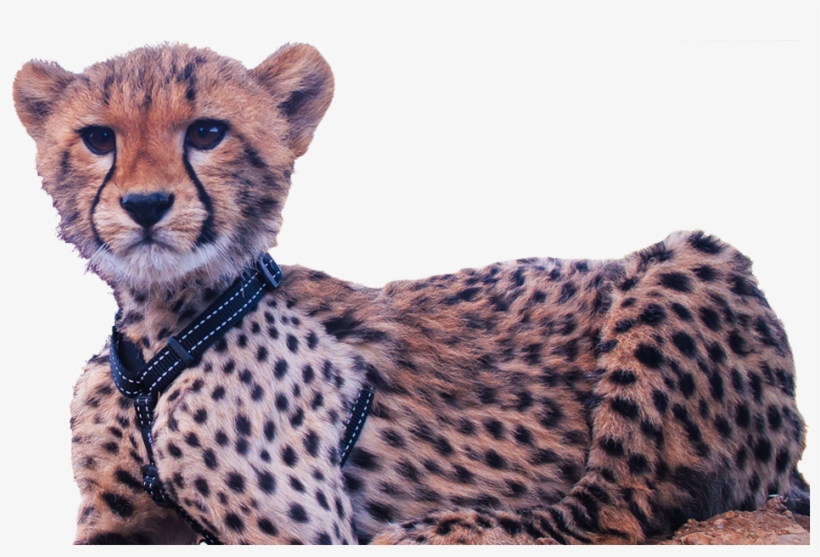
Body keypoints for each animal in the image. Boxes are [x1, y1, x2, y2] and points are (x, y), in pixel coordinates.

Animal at [13, 43, 809, 545]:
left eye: (207, 132)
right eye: (98, 139)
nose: (146, 204)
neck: (161, 326)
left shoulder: (303, 531)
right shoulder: (120, 523)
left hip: (685, 260)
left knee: (608, 511)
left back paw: (448, 527)